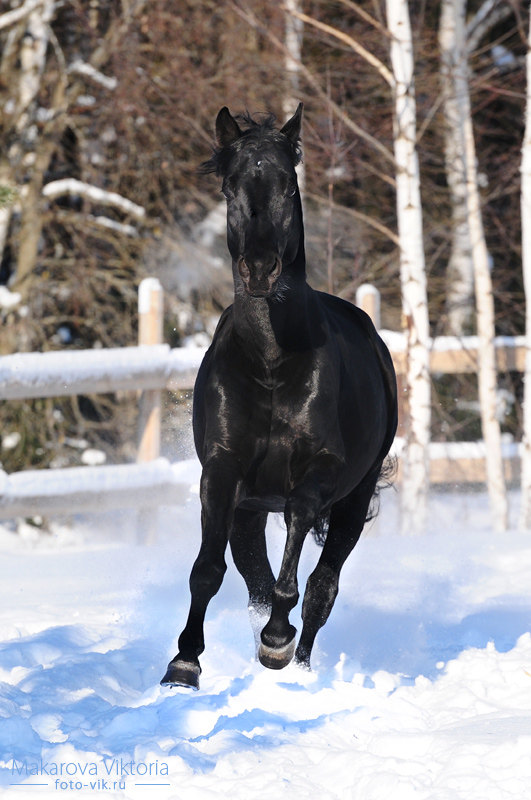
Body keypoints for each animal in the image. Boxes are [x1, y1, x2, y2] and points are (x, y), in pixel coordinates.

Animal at [160, 106, 396, 692]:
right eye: (230, 187)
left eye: (290, 186)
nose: (262, 268)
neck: (270, 361)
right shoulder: (223, 473)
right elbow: (208, 571)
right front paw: (183, 666)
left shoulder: (320, 474)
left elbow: (296, 552)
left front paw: (275, 641)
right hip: (248, 510)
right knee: (256, 581)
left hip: (354, 500)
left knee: (320, 588)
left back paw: (295, 664)